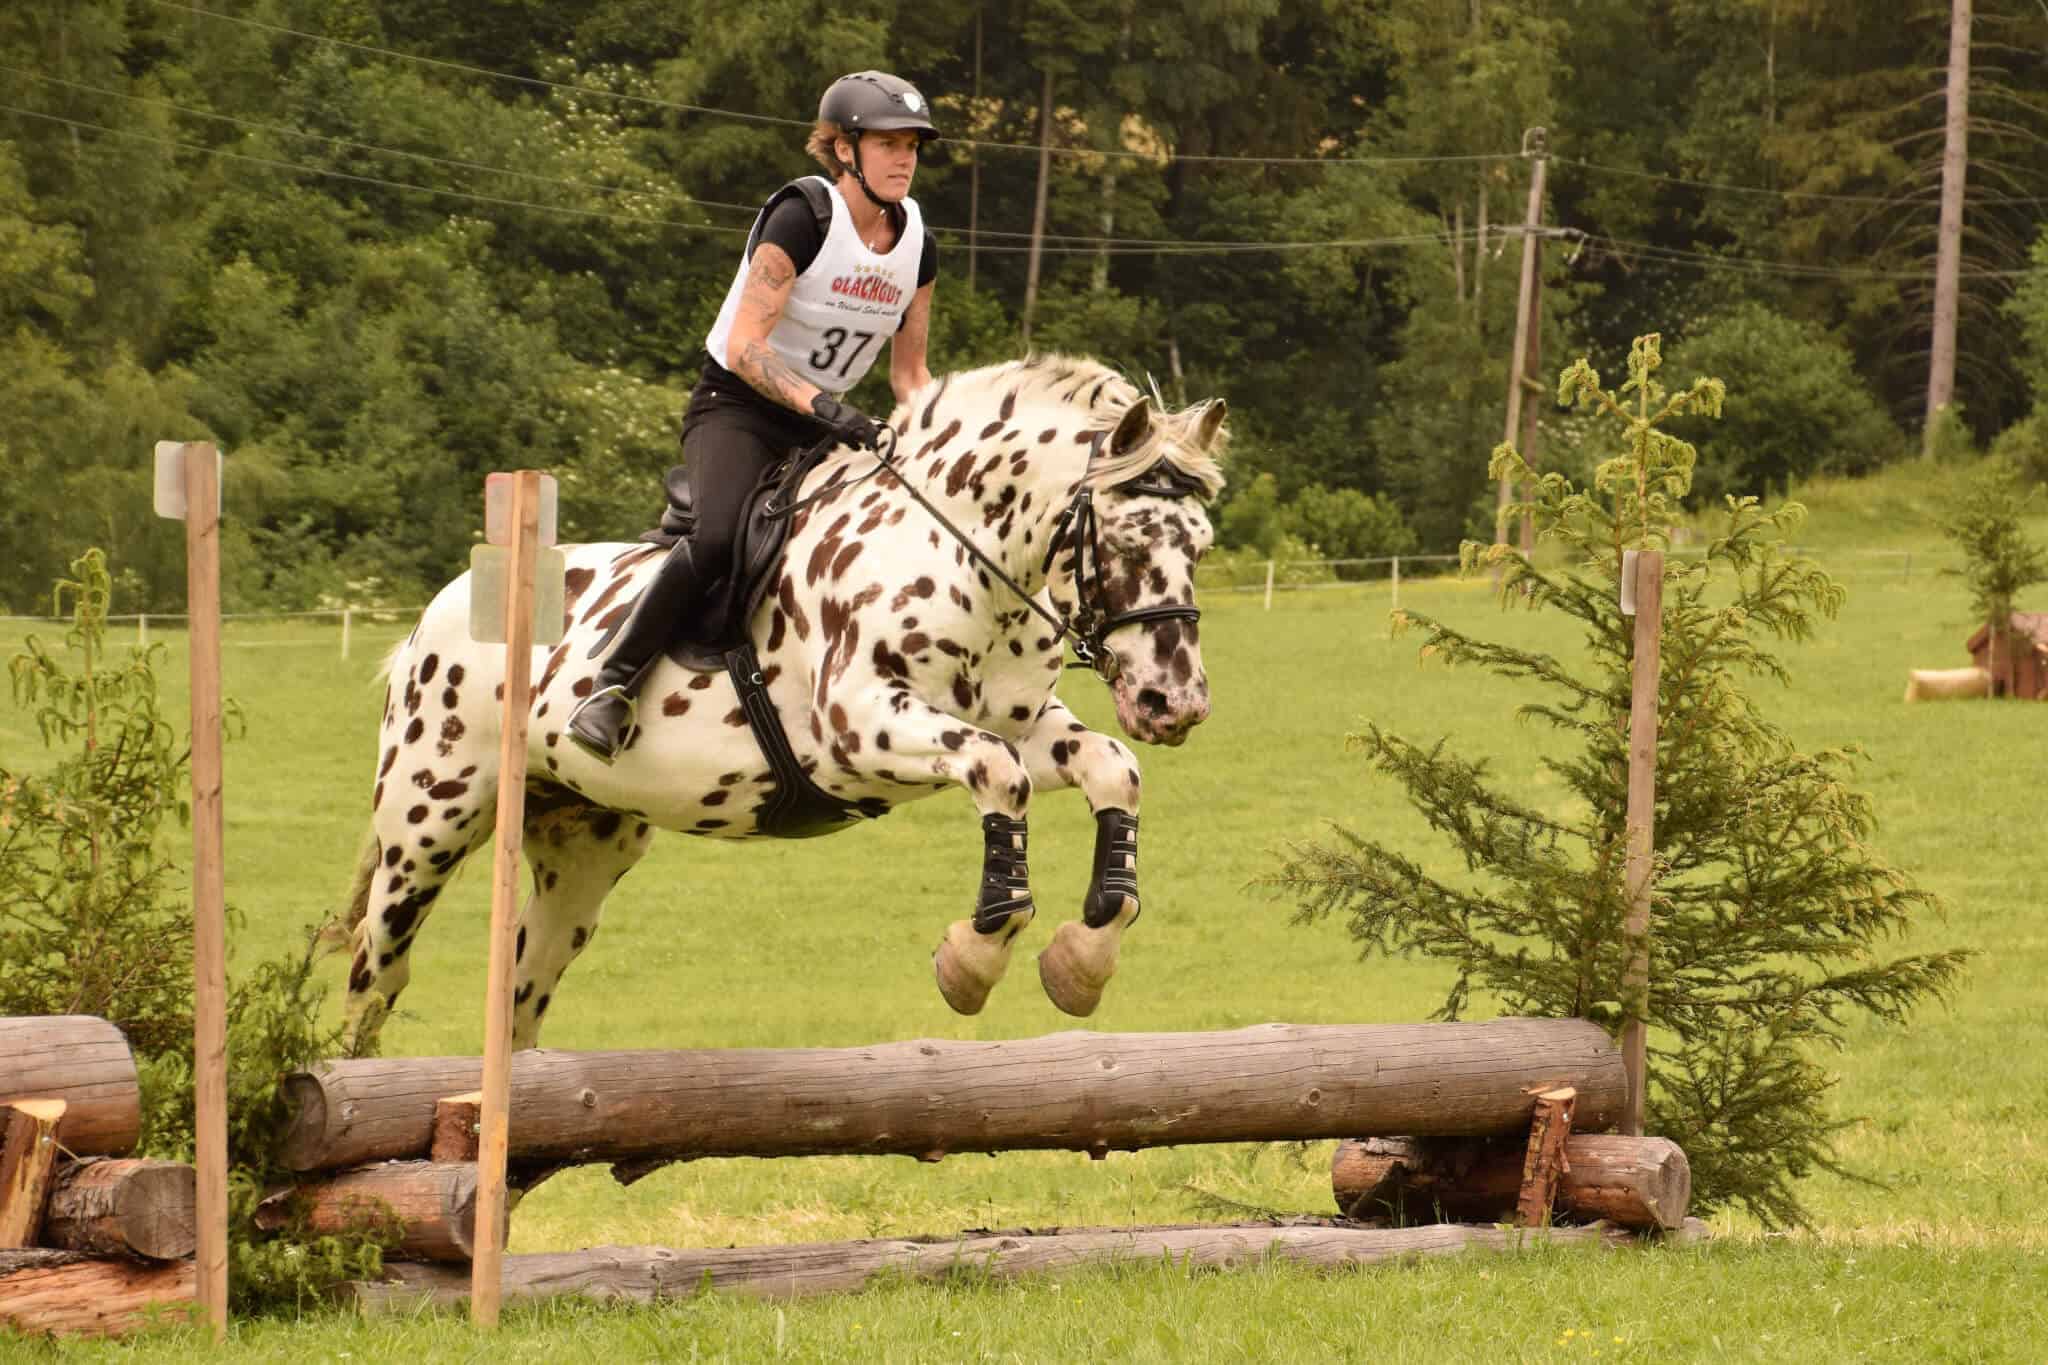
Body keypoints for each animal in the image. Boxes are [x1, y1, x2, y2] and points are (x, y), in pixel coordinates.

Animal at [342, 351, 1220, 1047]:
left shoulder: (1020, 721)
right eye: (1127, 539)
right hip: (425, 833)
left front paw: (1085, 955)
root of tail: (432, 617)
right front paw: (974, 956)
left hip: (584, 851)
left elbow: (1111, 767)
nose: (1174, 701)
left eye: (1202, 547)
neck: (960, 554)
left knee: (524, 992)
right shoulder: (858, 731)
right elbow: (1000, 775)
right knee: (374, 978)